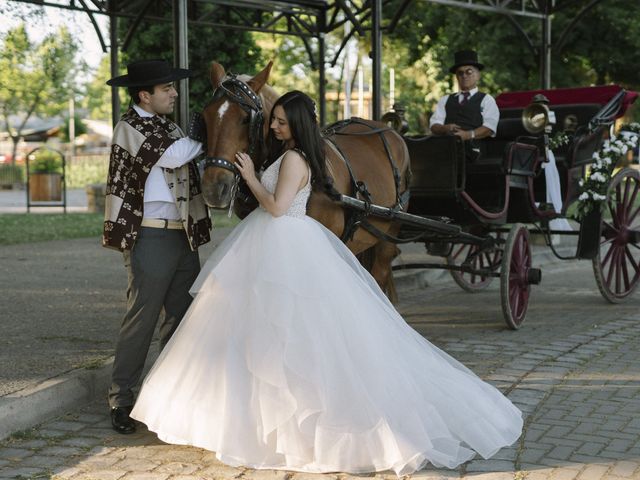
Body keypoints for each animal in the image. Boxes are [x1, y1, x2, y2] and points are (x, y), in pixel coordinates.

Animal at [198, 61, 412, 300]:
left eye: (245, 119)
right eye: (206, 117)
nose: (213, 188)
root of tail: (391, 130)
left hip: (390, 230)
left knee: (380, 271)